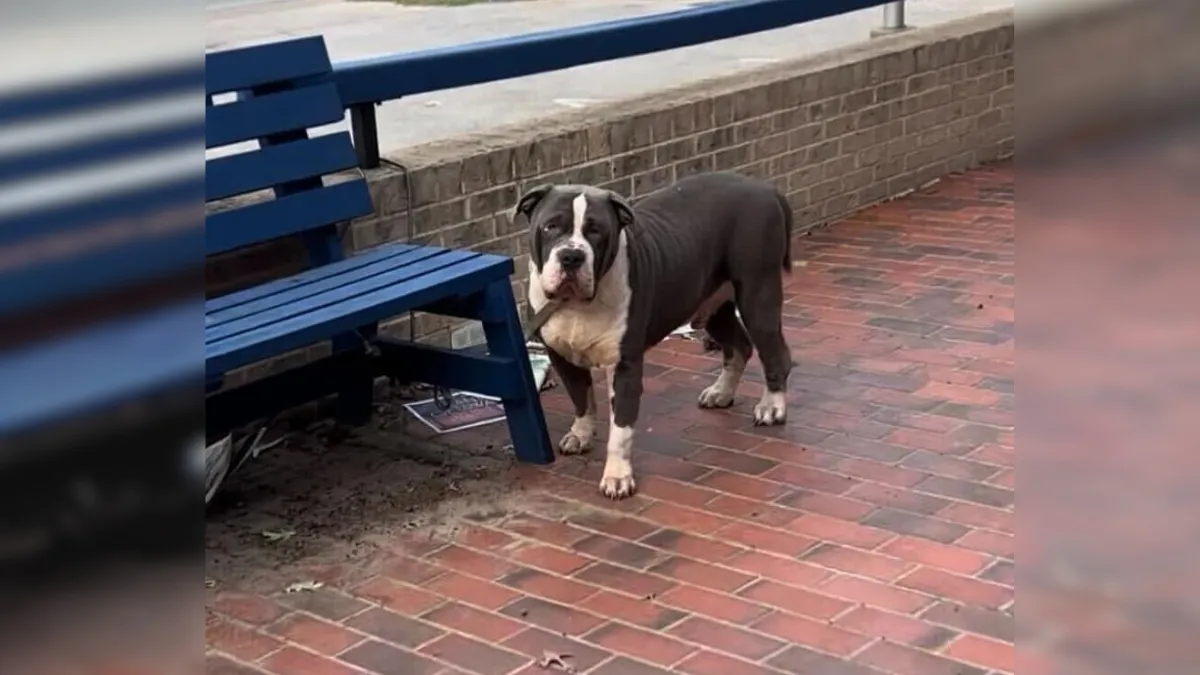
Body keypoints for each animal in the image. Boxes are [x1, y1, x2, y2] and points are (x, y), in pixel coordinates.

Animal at [516, 171, 796, 499]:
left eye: (596, 231)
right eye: (550, 226)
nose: (571, 255)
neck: (577, 305)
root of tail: (765, 187)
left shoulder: (625, 366)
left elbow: (621, 430)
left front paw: (617, 477)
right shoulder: (561, 356)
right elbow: (581, 398)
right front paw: (581, 434)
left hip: (757, 294)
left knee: (774, 353)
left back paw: (772, 406)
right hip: (712, 305)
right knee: (739, 345)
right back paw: (721, 392)